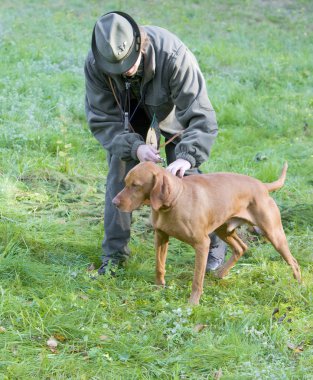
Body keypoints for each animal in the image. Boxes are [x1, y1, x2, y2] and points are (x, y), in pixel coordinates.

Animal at [112, 162, 300, 304]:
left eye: (135, 185)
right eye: (125, 182)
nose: (114, 202)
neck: (175, 201)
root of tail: (262, 185)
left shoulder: (202, 244)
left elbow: (197, 279)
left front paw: (193, 303)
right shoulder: (161, 236)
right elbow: (159, 266)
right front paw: (158, 289)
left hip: (274, 234)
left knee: (294, 262)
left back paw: (299, 287)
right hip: (224, 230)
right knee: (241, 248)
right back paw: (220, 274)